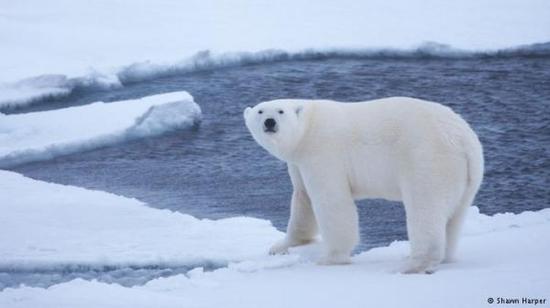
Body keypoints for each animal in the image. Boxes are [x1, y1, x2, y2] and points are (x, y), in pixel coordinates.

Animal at [244, 97, 486, 274]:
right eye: (260, 112)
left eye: (280, 112)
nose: (269, 122)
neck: (308, 129)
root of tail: (465, 140)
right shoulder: (298, 162)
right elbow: (303, 200)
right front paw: (282, 246)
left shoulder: (323, 151)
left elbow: (331, 201)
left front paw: (330, 258)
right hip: (466, 176)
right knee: (455, 217)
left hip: (427, 159)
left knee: (425, 208)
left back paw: (413, 264)